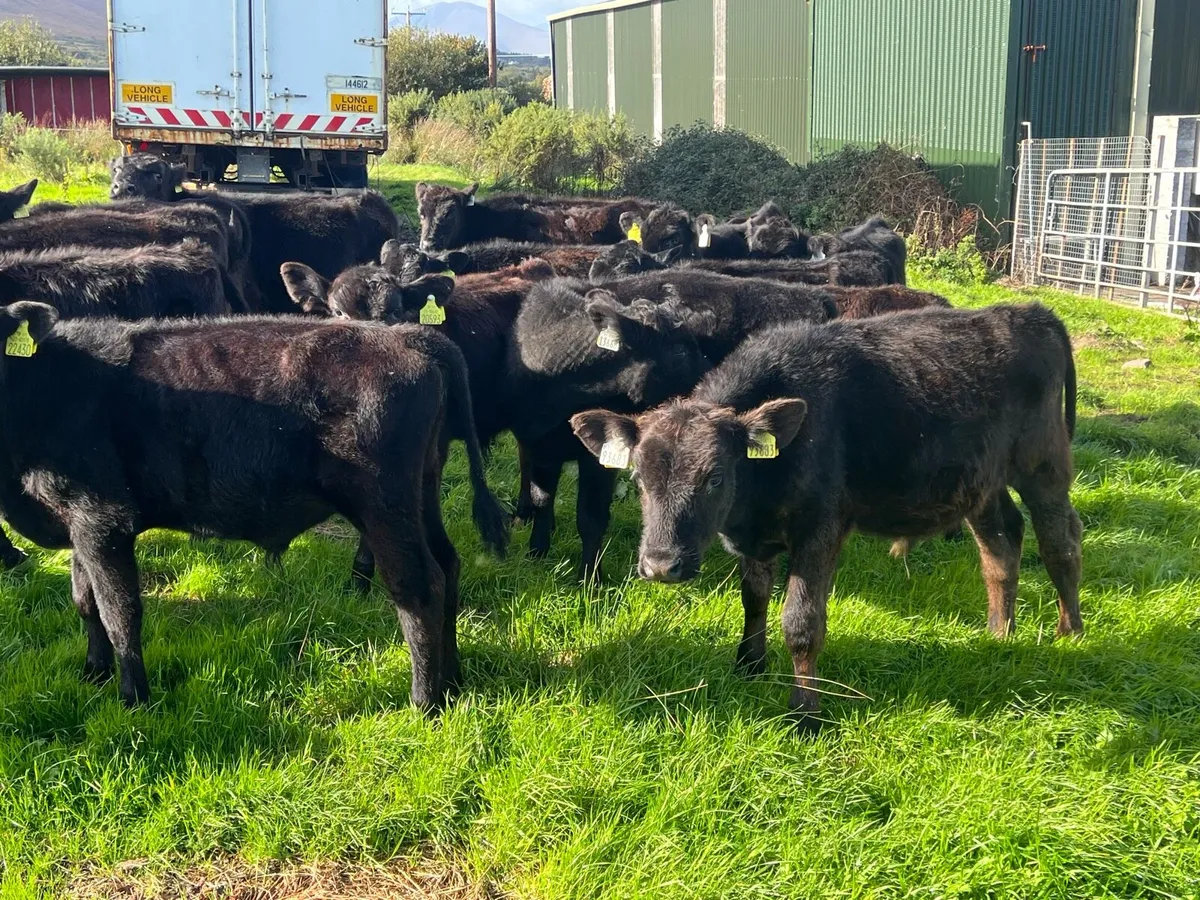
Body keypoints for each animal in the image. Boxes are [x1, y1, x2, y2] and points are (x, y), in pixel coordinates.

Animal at [0, 303, 508, 709]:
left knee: (419, 588)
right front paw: (93, 673)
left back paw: (426, 702)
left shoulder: (103, 520)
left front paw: (133, 699)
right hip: (422, 494)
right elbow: (85, 602)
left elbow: (119, 614)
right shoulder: (76, 524)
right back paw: (454, 681)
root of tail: (407, 335)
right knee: (449, 565)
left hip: (385, 506)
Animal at [571, 303, 1082, 731]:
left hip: (1044, 463)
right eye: (638, 477)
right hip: (980, 481)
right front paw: (748, 667)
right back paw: (999, 632)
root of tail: (1031, 311)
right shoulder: (757, 538)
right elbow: (753, 599)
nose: (661, 565)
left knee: (1061, 542)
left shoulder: (821, 527)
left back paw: (1070, 633)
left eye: (715, 477)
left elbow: (801, 622)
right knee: (1001, 542)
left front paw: (805, 713)